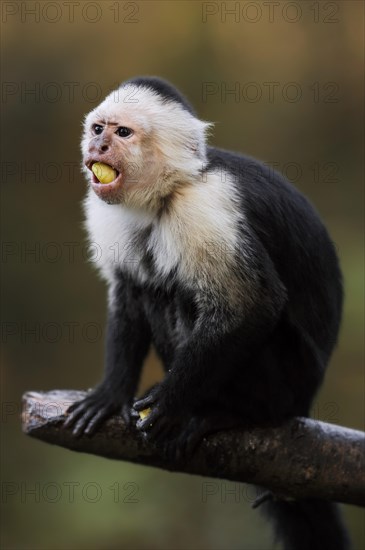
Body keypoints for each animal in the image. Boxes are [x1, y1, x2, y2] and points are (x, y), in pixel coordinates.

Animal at [64, 75, 348, 548]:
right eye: (99, 128)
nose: (98, 146)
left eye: (122, 133)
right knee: (153, 288)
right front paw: (112, 392)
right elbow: (127, 291)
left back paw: (233, 414)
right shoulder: (108, 211)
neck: (167, 192)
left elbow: (253, 303)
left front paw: (172, 402)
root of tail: (307, 399)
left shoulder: (206, 208)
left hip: (291, 381)